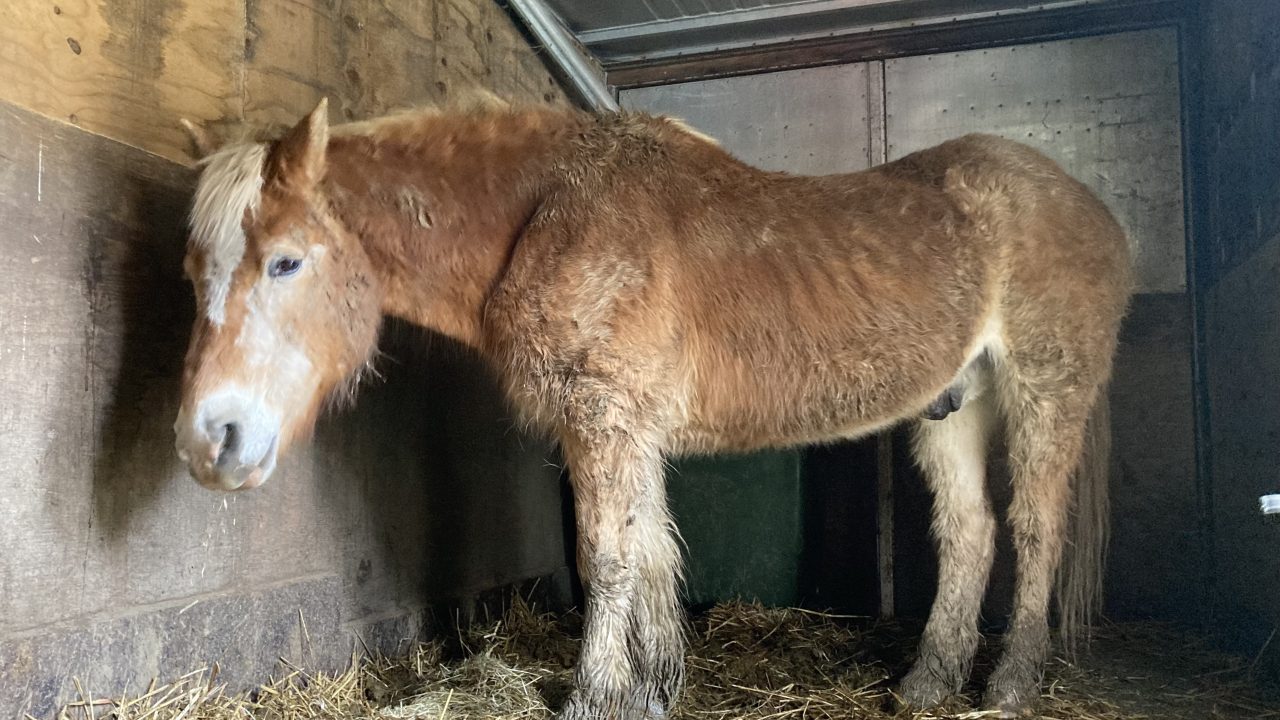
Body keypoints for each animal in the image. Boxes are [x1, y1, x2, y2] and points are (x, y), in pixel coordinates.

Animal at [173, 96, 1131, 719]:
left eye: (286, 262)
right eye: (193, 272)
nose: (208, 442)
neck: (549, 211)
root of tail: (1102, 216)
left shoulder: (603, 420)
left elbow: (608, 557)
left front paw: (595, 696)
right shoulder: (620, 430)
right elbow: (649, 550)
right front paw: (652, 689)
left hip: (1043, 391)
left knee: (1035, 529)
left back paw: (1009, 686)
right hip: (953, 408)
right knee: (970, 534)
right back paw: (929, 684)